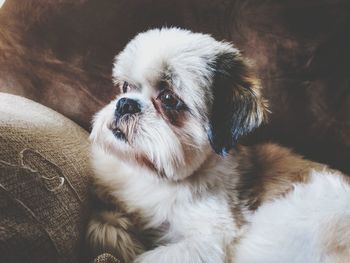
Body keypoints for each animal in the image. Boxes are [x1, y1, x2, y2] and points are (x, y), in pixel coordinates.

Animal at [86, 27, 348, 262]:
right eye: (125, 87)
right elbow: (103, 222)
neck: (160, 179)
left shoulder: (208, 242)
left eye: (169, 98)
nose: (125, 104)